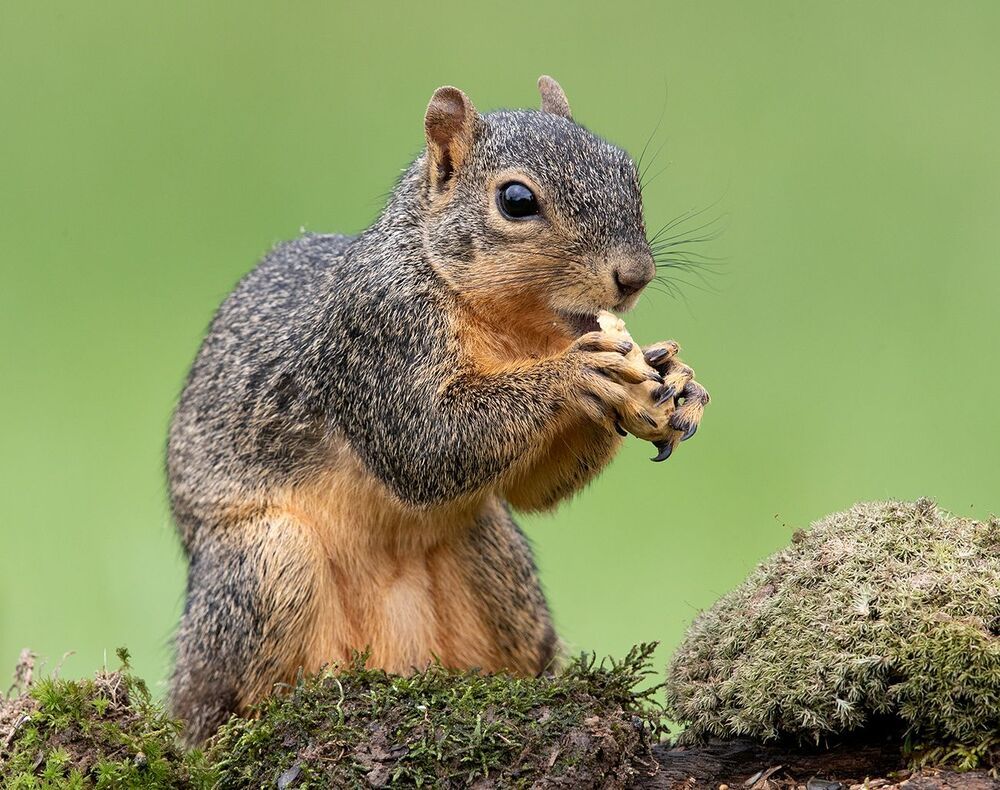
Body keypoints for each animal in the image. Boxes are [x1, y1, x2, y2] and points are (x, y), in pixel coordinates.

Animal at [166, 76, 709, 744]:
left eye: (628, 171)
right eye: (516, 200)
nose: (635, 277)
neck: (508, 327)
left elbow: (531, 490)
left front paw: (676, 380)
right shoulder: (379, 335)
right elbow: (424, 445)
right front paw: (579, 373)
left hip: (495, 560)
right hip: (263, 564)